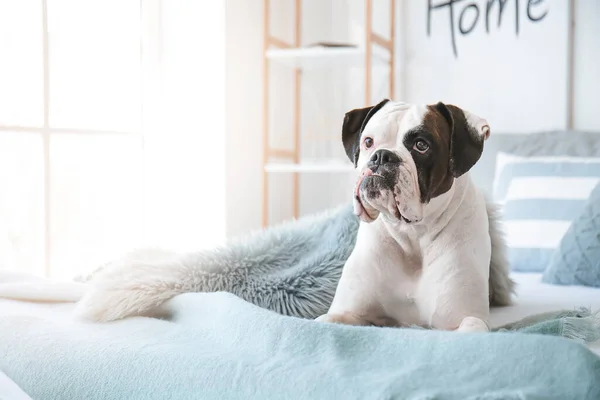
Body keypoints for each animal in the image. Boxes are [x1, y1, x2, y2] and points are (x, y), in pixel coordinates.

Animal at [316, 99, 512, 332]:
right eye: (368, 142)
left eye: (421, 145)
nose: (382, 155)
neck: (412, 235)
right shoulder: (347, 312)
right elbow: (325, 321)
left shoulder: (467, 318)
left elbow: (471, 328)